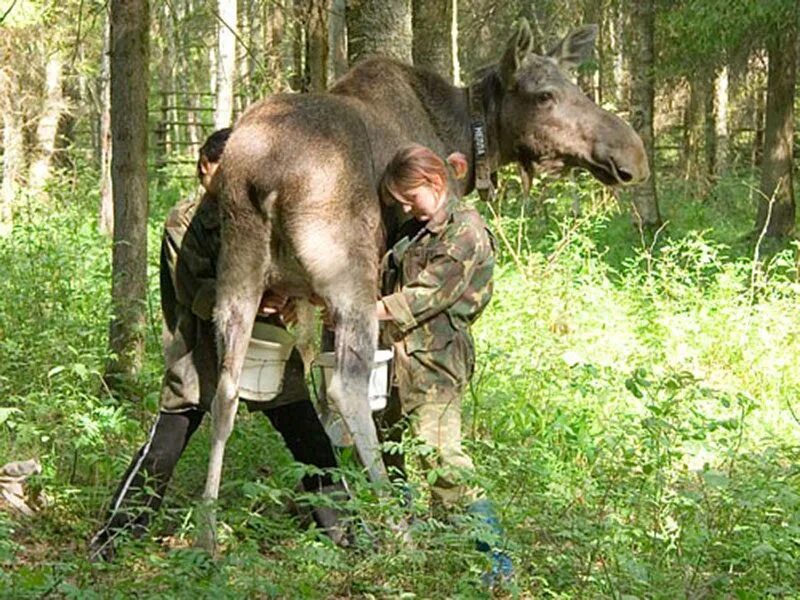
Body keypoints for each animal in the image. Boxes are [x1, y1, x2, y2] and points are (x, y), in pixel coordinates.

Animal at [195, 21, 648, 552]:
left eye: (575, 85)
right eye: (544, 95)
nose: (632, 152)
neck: (465, 136)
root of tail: (262, 176)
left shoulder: (307, 301)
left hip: (240, 268)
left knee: (226, 389)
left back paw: (207, 530)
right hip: (346, 271)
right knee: (347, 388)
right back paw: (396, 525)